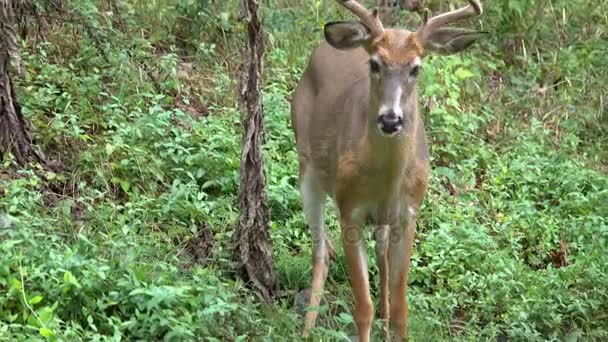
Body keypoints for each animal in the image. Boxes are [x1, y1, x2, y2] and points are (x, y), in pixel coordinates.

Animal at [290, 0, 484, 340]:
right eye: (375, 64)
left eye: (416, 68)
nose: (391, 120)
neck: (386, 182)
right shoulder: (349, 211)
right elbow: (361, 308)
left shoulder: (408, 214)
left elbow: (402, 309)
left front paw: (390, 318)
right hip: (307, 165)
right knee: (321, 251)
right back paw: (307, 328)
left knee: (377, 251)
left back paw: (382, 311)